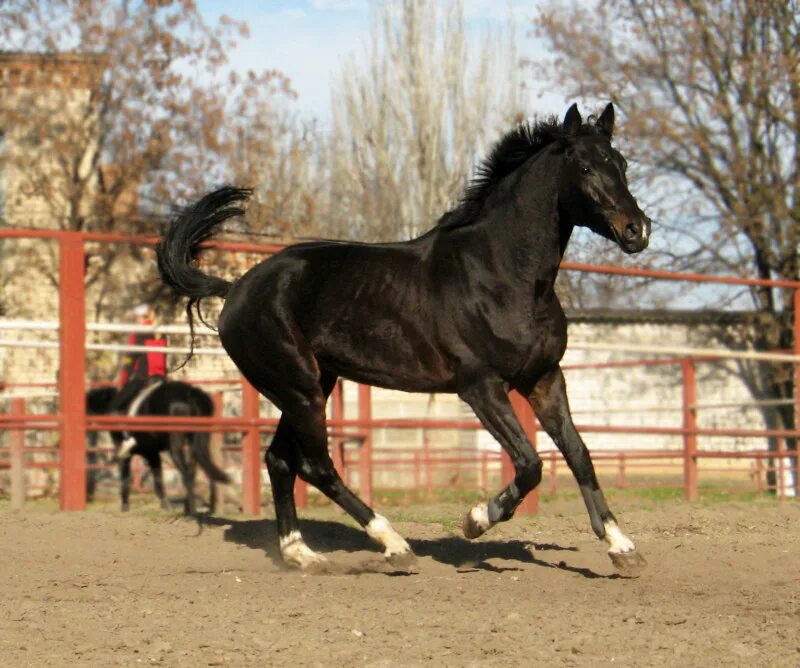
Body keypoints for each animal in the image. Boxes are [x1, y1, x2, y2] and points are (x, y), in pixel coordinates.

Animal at [86, 380, 230, 512]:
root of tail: (189, 393)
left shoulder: (129, 454)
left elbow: (126, 479)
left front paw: (125, 506)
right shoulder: (152, 454)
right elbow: (158, 480)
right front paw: (166, 506)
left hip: (175, 446)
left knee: (186, 472)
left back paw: (191, 511)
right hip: (194, 442)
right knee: (191, 470)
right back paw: (188, 507)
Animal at [159, 102, 652, 572]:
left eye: (622, 163)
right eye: (584, 167)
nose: (638, 229)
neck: (502, 274)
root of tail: (235, 289)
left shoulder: (545, 378)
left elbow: (579, 454)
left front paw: (622, 548)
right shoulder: (481, 387)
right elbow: (530, 463)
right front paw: (475, 520)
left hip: (310, 386)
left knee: (280, 461)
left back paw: (303, 555)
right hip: (298, 389)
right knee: (316, 466)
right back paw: (394, 545)